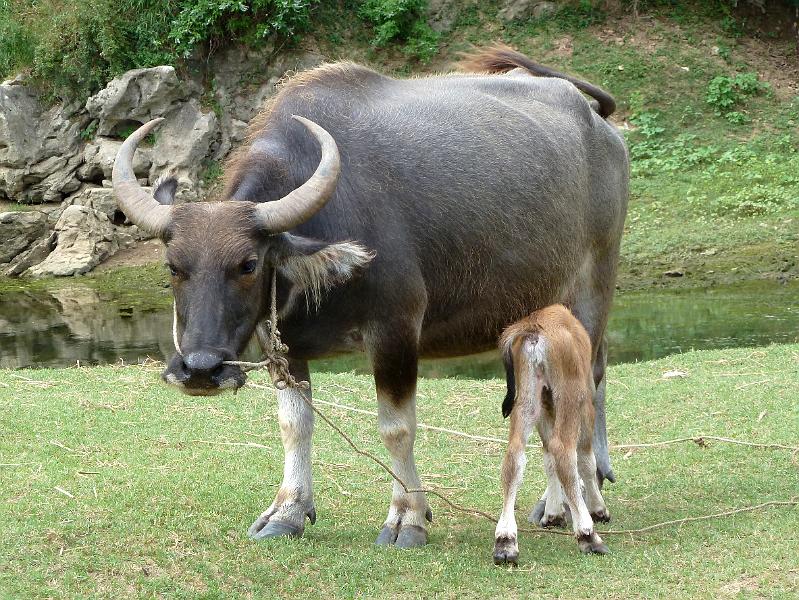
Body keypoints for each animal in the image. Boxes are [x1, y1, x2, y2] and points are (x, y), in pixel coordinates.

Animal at [112, 44, 632, 548]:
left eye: (248, 265)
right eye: (173, 267)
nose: (200, 370)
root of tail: (600, 125)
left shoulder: (395, 331)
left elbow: (396, 428)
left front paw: (408, 518)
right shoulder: (284, 344)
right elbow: (294, 424)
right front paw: (287, 511)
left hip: (593, 292)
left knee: (585, 389)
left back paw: (578, 500)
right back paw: (565, 499)